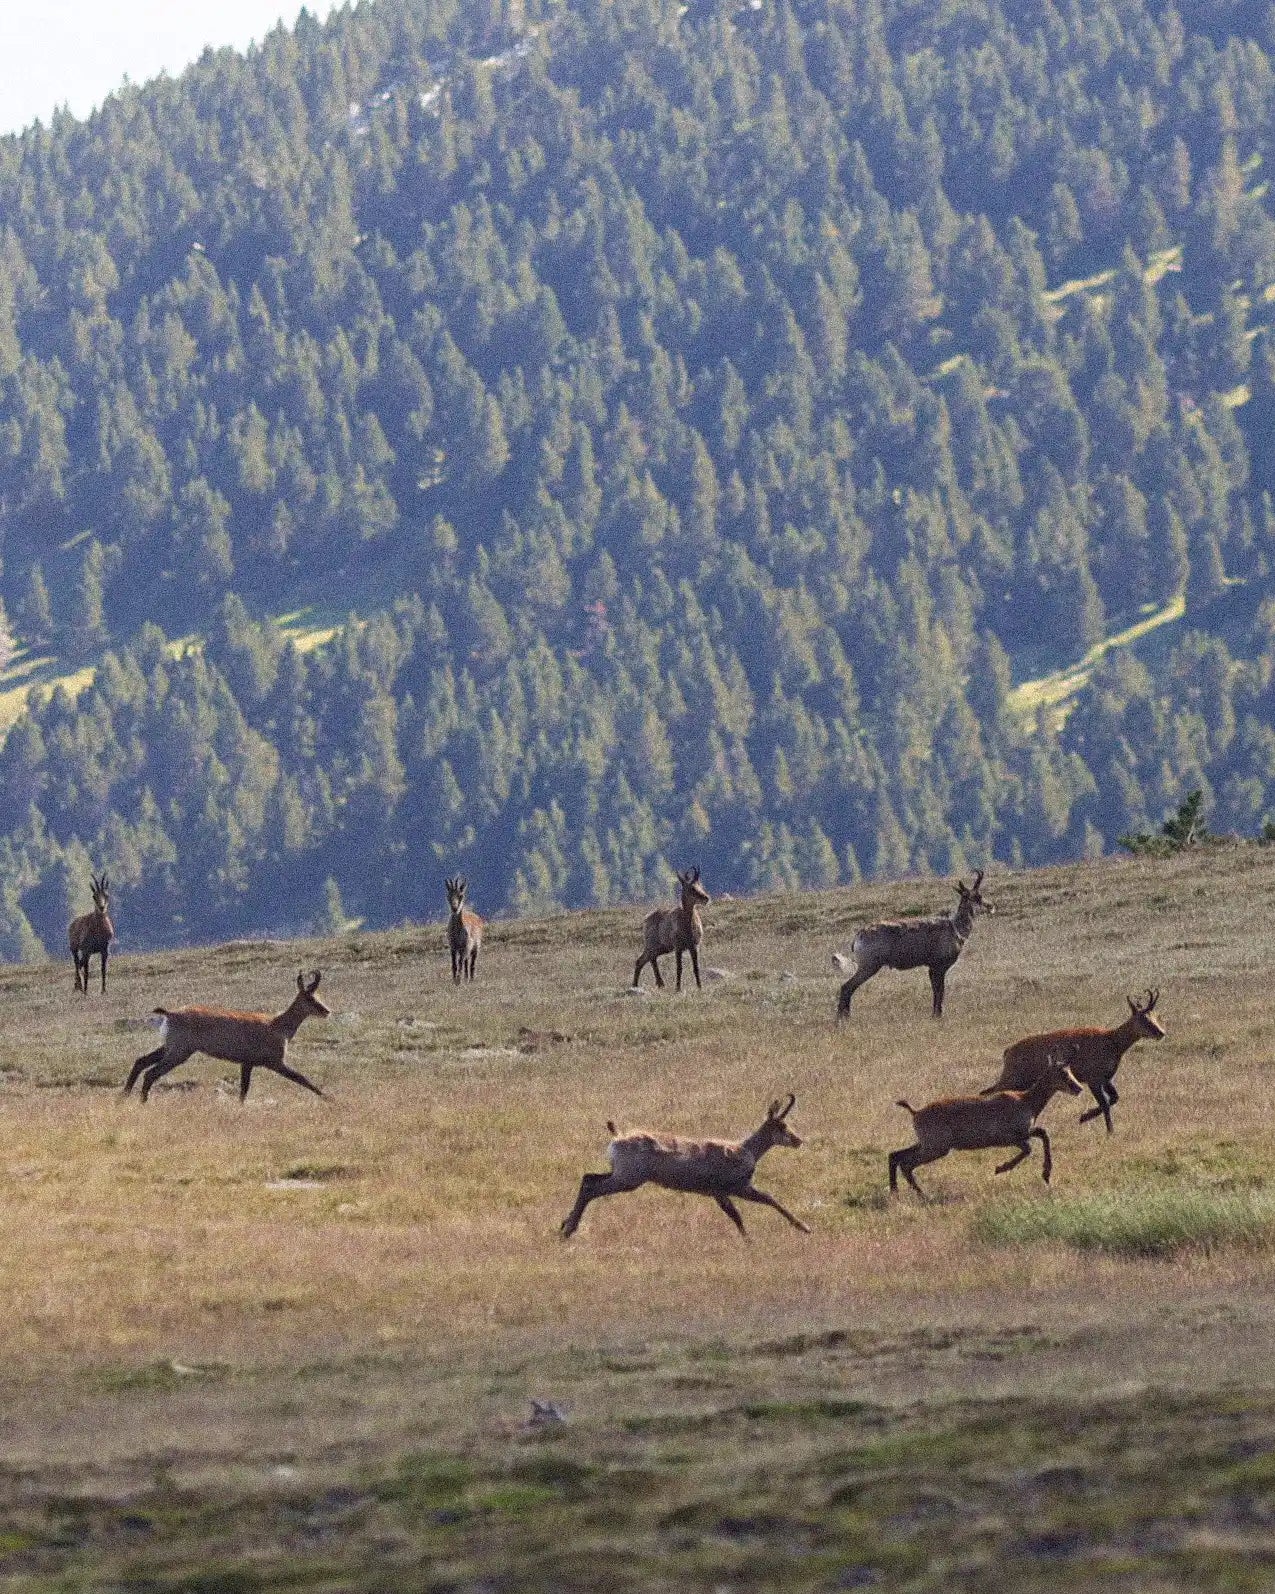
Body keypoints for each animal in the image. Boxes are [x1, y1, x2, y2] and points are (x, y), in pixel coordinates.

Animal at [123, 970, 330, 1104]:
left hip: (170, 1046)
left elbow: (244, 1089)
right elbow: (303, 1079)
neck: (279, 1026)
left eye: (318, 996)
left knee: (141, 1061)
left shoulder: (247, 1062)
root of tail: (170, 1013)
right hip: (180, 1051)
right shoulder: (275, 1062)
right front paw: (330, 1100)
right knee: (151, 1072)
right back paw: (142, 1102)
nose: (326, 1011)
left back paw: (122, 1098)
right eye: (310, 998)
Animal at [560, 1094, 809, 1238]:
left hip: (619, 1175)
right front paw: (804, 1228)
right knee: (592, 1187)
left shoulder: (721, 1193)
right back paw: (568, 1230)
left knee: (588, 1178)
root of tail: (617, 1137)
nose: (798, 1140)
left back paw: (565, 1225)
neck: (744, 1150)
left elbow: (738, 1214)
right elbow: (765, 1201)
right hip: (628, 1180)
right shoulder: (734, 1189)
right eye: (781, 1126)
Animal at [836, 870, 992, 1020]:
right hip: (869, 966)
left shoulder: (932, 968)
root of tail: (858, 936)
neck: (955, 928)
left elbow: (936, 990)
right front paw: (938, 1015)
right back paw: (843, 1018)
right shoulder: (938, 966)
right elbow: (940, 990)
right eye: (976, 897)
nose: (991, 906)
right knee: (847, 987)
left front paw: (935, 1014)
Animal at [889, 1055, 1082, 1200]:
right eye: (1062, 1072)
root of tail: (916, 1112)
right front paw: (1001, 1168)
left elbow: (1043, 1133)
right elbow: (1028, 1148)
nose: (1078, 1088)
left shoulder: (1026, 1132)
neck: (1026, 1100)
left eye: (1069, 1070)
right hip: (936, 1148)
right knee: (906, 1163)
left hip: (927, 1144)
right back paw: (921, 1194)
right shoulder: (1009, 1138)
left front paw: (1046, 1174)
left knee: (895, 1155)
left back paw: (895, 1191)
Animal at [982, 988, 1165, 1134]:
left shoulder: (1106, 1077)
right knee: (991, 1090)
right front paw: (1104, 1128)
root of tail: (1007, 1051)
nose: (1161, 1032)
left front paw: (1086, 1117)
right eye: (1143, 1018)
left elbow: (1114, 1098)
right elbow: (1105, 1102)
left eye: (1155, 1016)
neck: (1112, 1042)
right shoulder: (1093, 1077)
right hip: (1014, 1077)